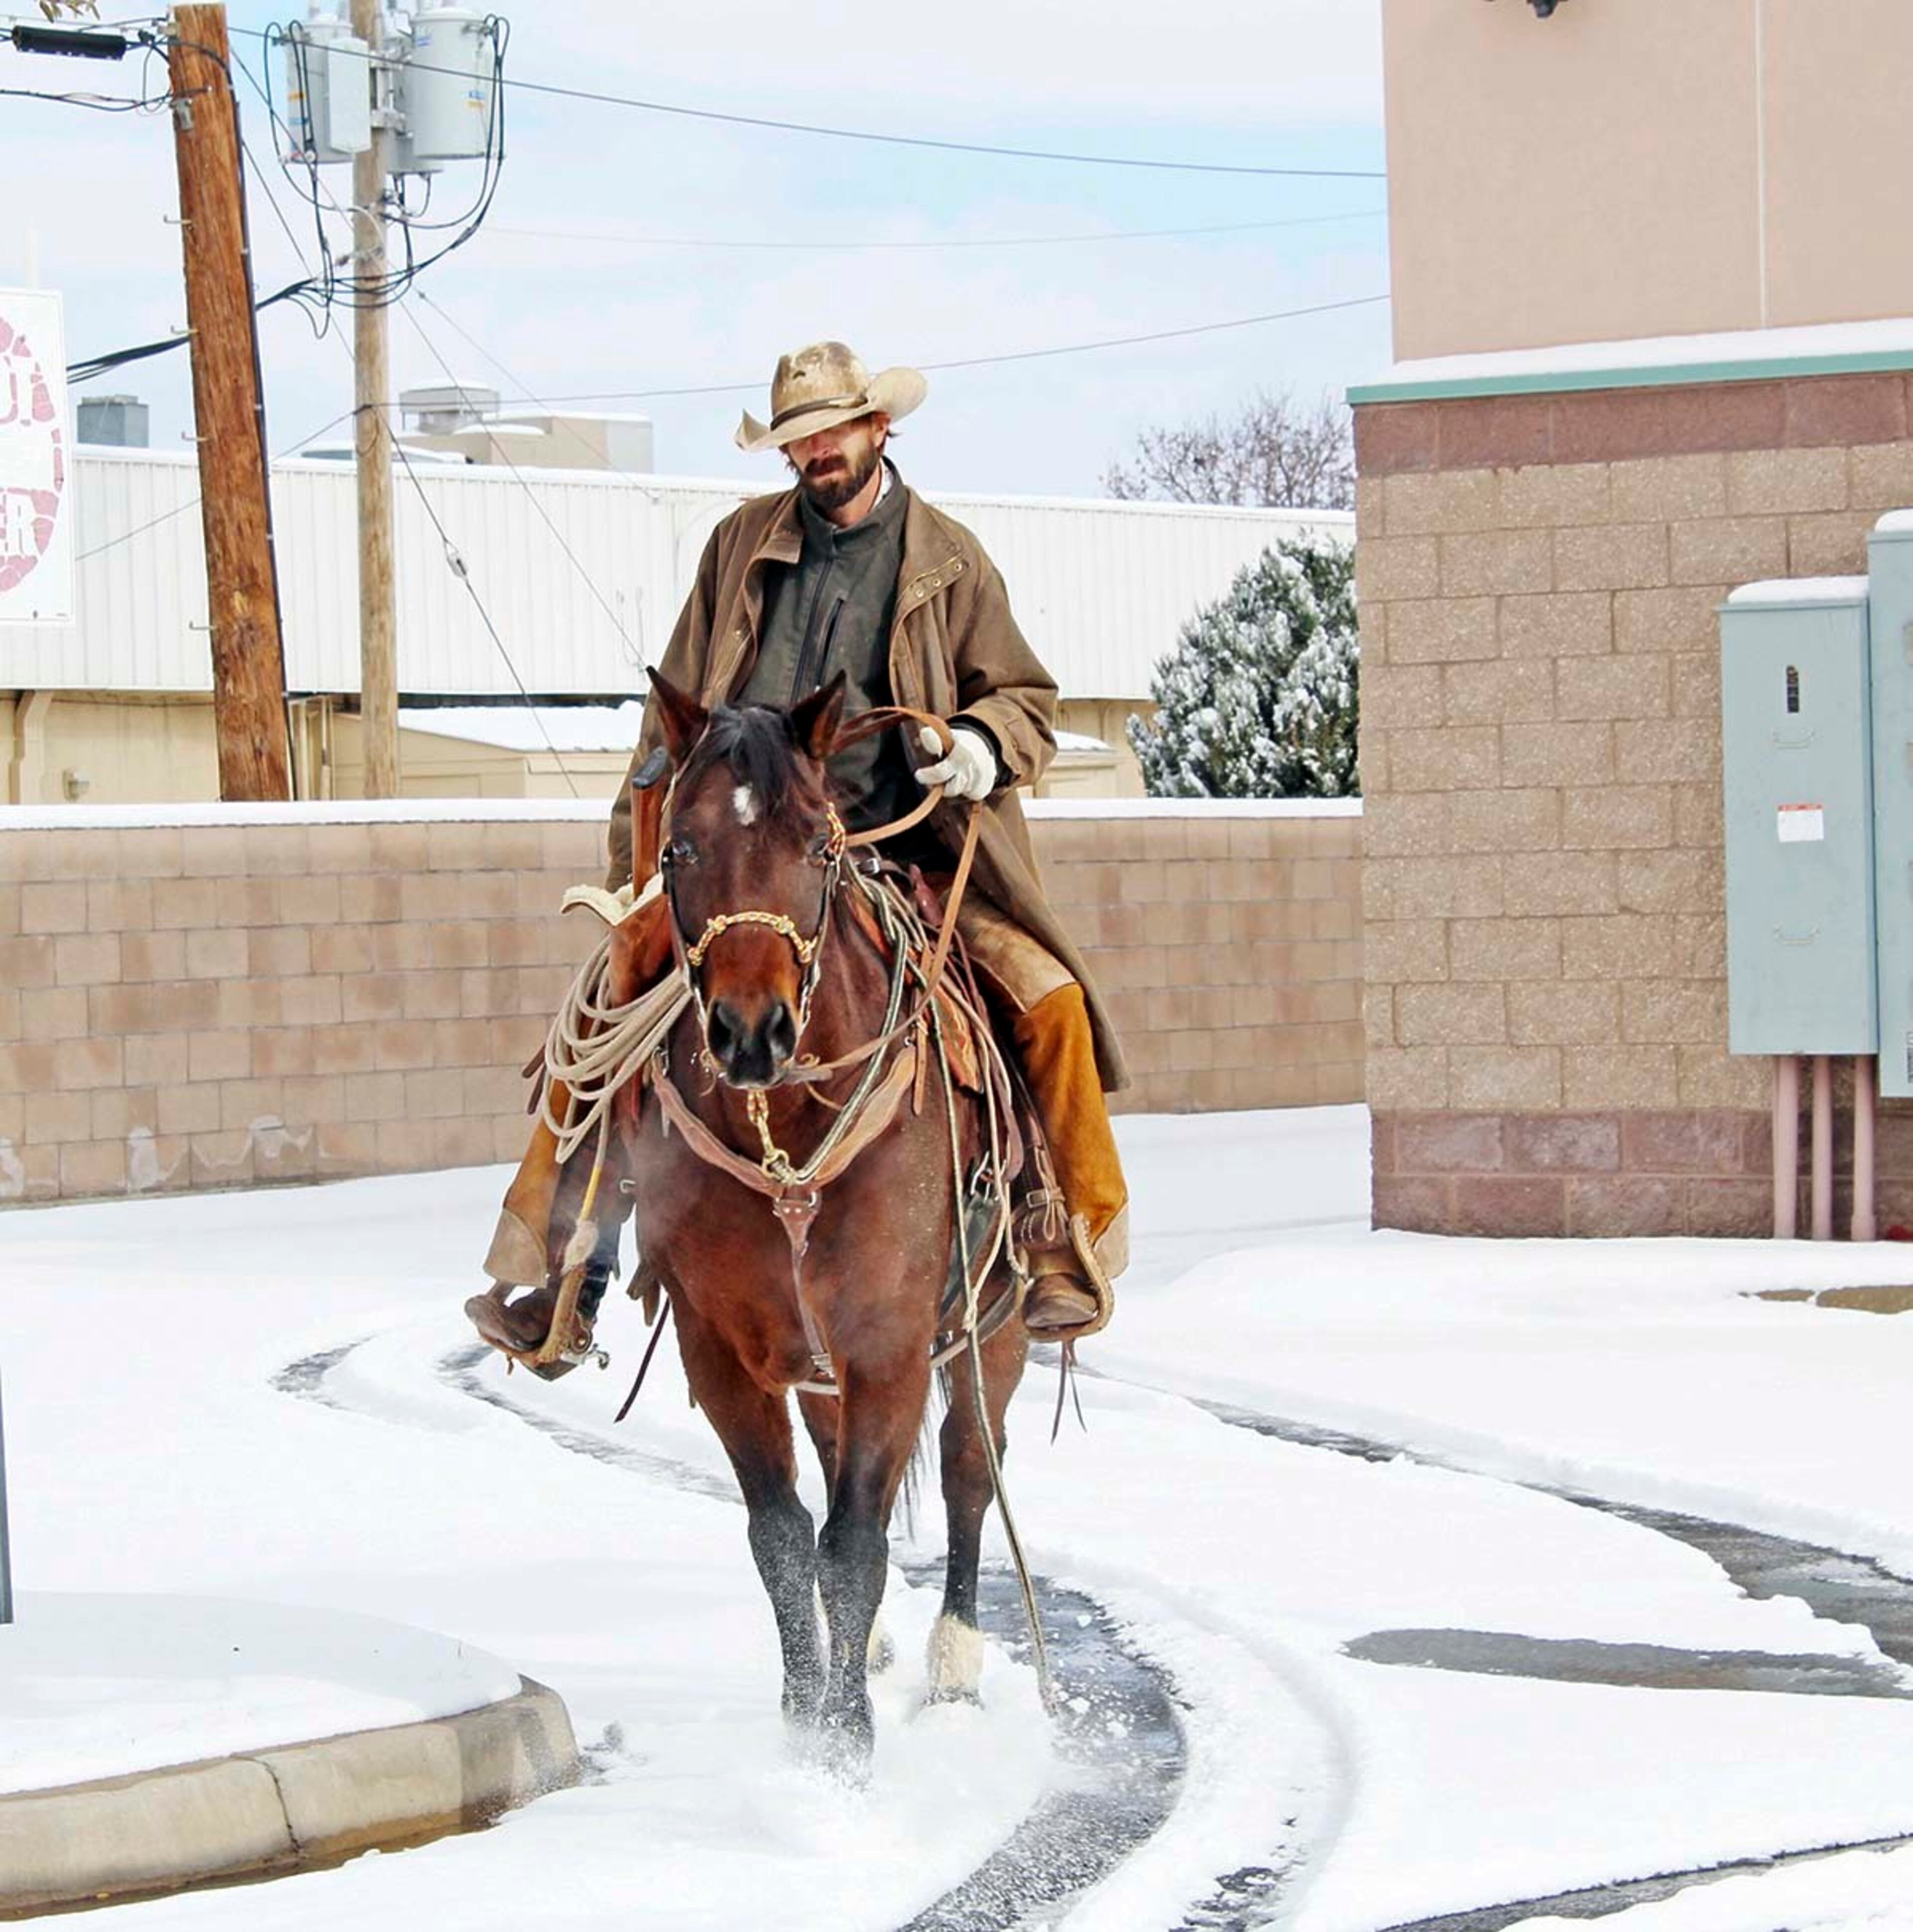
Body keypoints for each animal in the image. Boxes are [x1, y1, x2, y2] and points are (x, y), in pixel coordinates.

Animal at [618, 669, 1032, 1774]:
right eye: (678, 850)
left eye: (819, 845)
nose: (750, 1031)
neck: (788, 1135)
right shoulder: (723, 1349)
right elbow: (779, 1534)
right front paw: (806, 1714)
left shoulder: (888, 1343)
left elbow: (853, 1543)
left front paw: (845, 1746)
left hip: (996, 1326)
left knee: (971, 1471)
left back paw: (954, 1659)